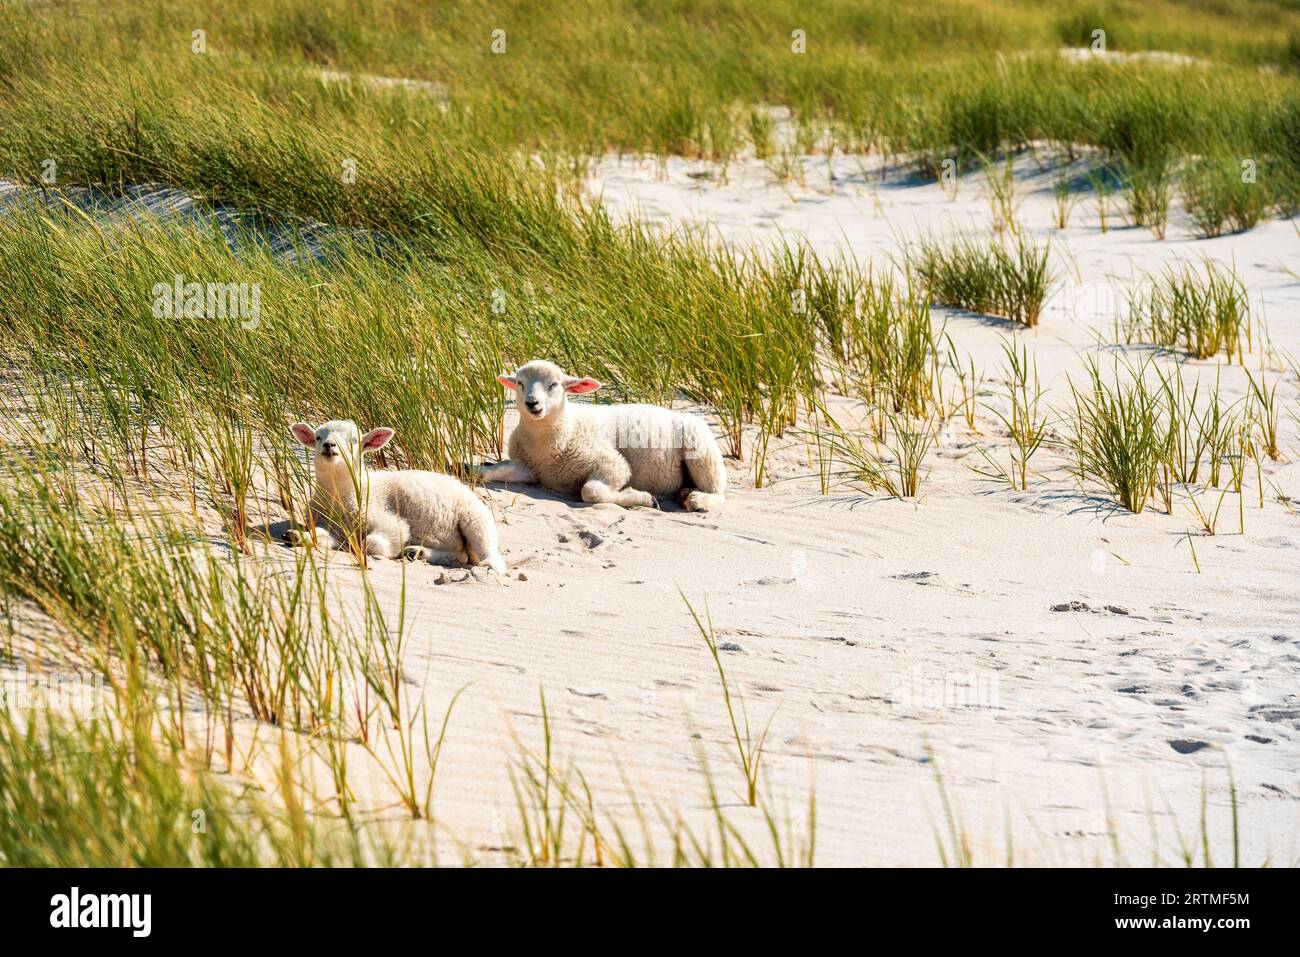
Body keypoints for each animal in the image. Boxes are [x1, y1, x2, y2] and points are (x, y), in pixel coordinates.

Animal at [287, 421, 504, 572]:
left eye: (354, 441)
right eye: (318, 437)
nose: (329, 445)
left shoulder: (388, 520)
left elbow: (373, 544)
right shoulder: (332, 527)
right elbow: (320, 536)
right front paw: (296, 536)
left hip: (475, 517)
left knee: (487, 548)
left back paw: (488, 566)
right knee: (460, 555)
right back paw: (417, 552)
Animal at [478, 361, 728, 512]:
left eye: (554, 385)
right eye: (520, 383)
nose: (532, 403)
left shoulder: (614, 464)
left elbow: (590, 491)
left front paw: (645, 498)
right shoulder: (529, 467)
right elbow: (494, 471)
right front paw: (478, 470)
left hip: (701, 449)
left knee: (718, 491)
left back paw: (697, 500)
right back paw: (685, 493)